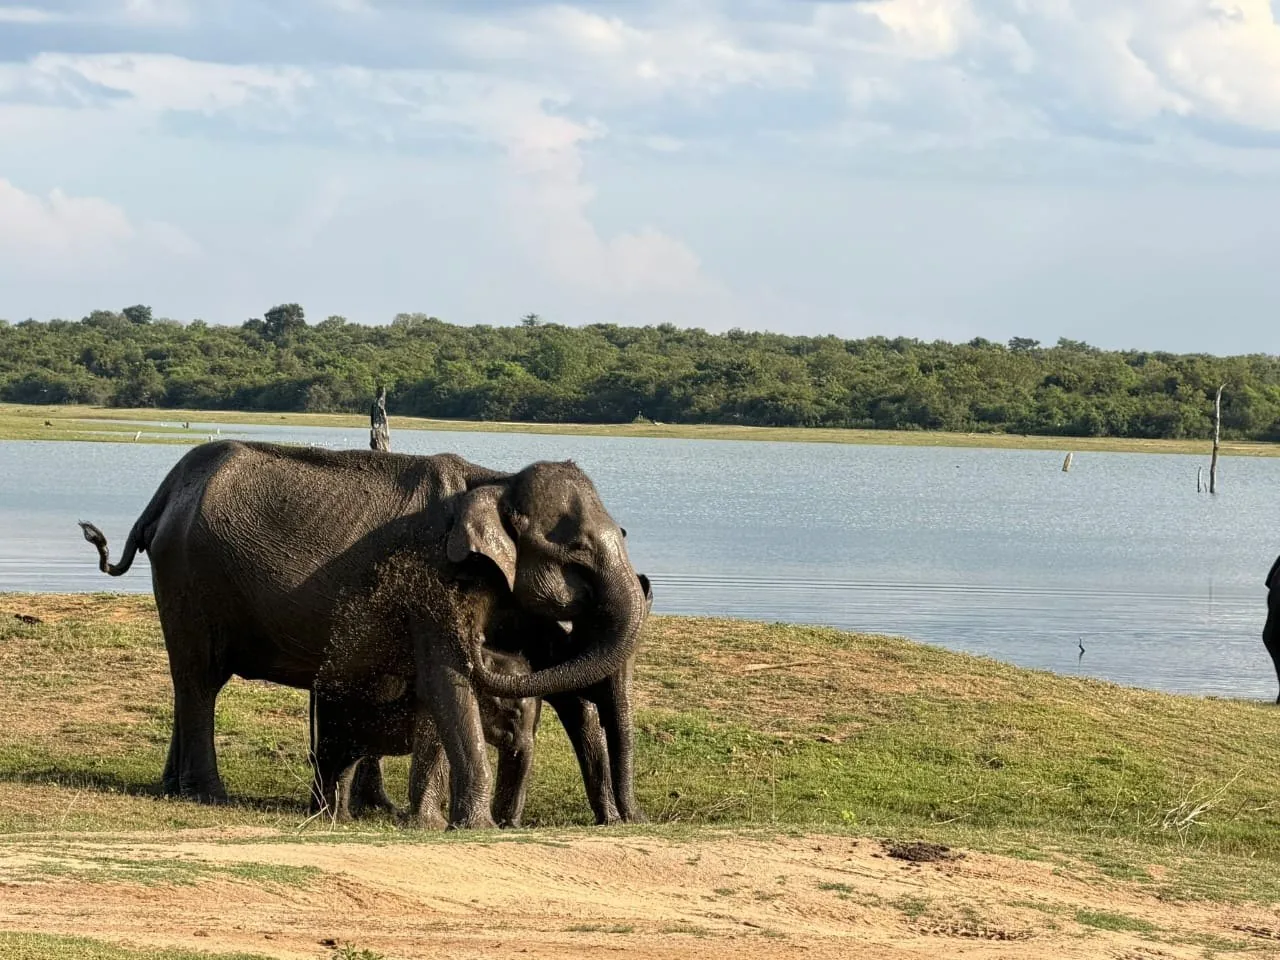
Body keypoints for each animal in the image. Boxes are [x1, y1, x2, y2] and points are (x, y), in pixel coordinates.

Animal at [79, 440, 648, 829]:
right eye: (577, 553)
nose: (634, 819)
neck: (493, 479)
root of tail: (163, 493)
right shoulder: (433, 586)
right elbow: (446, 682)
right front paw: (468, 827)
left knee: (190, 683)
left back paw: (173, 789)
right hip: (189, 579)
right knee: (200, 681)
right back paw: (207, 795)